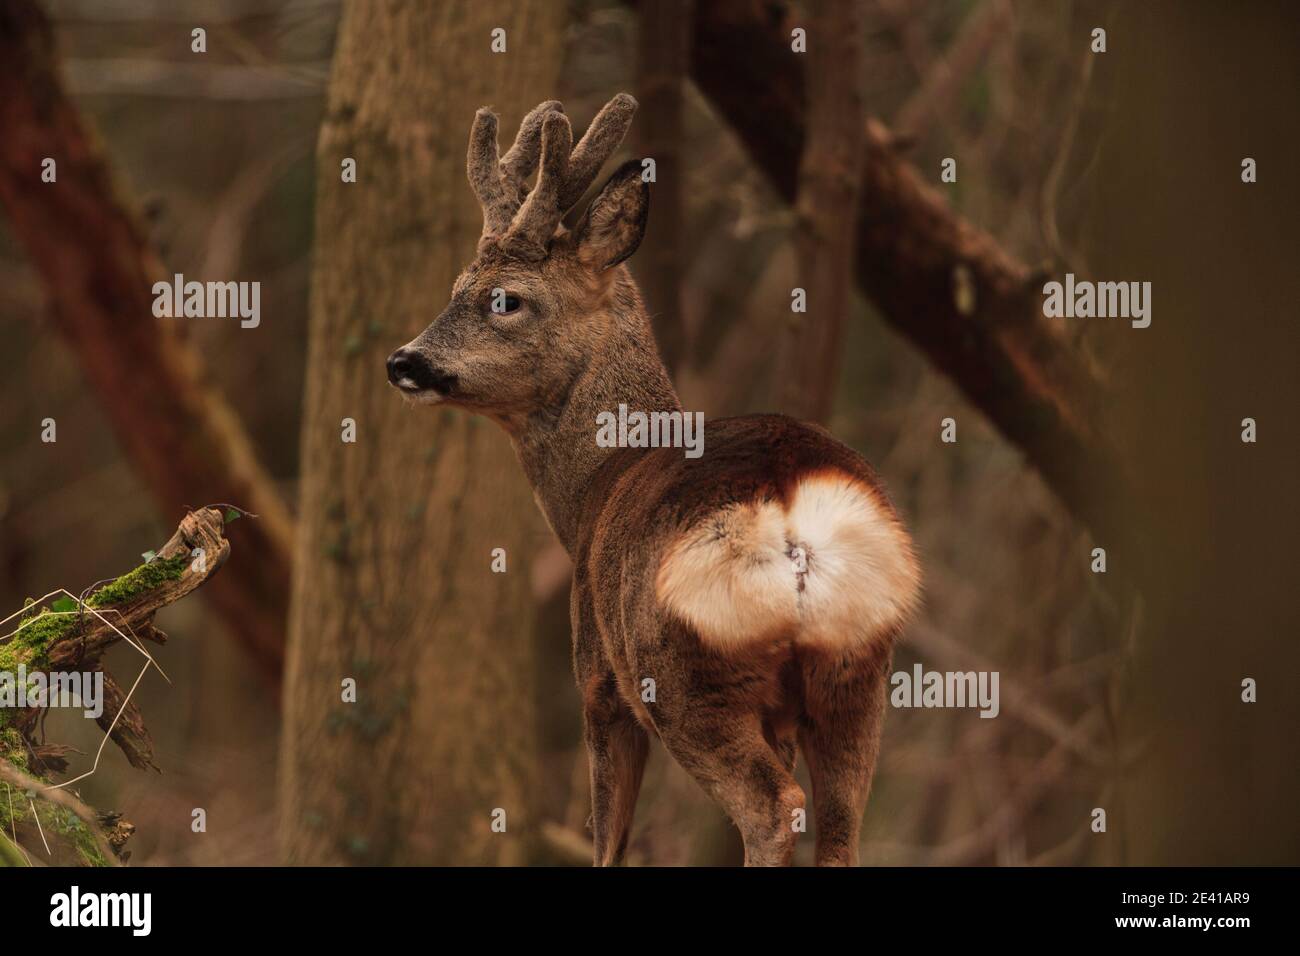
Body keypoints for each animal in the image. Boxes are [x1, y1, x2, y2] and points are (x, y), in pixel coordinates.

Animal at [384, 95, 925, 868]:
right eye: (457, 287)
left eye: (504, 299)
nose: (403, 361)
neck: (595, 485)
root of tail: (792, 506)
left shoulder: (597, 678)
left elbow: (608, 840)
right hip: (856, 674)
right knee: (843, 825)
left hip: (682, 672)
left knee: (772, 808)